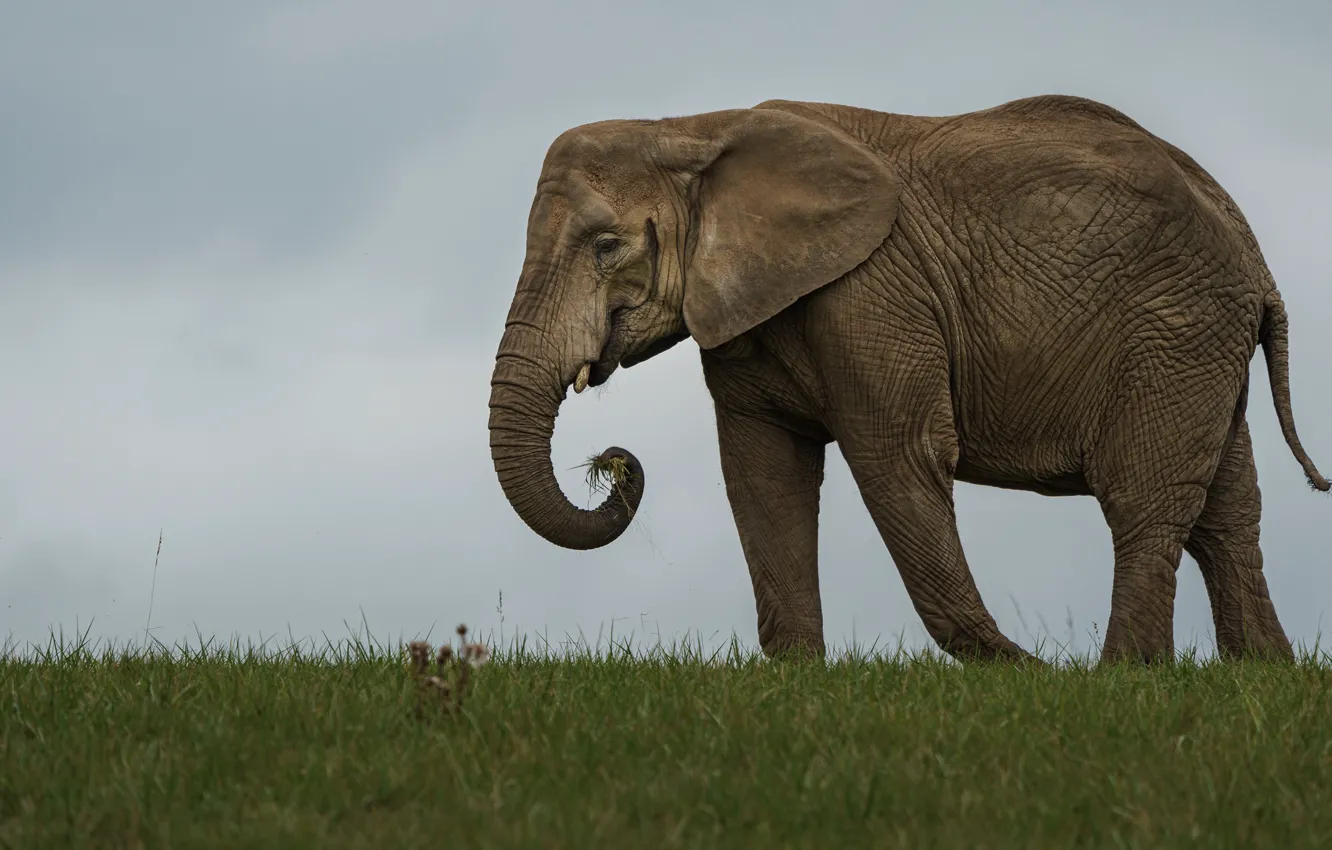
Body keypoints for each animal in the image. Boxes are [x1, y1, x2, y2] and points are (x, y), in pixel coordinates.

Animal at [487, 93, 1328, 665]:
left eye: (605, 246)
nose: (613, 460)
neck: (692, 129)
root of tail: (1251, 246)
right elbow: (763, 475)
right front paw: (798, 680)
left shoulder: (872, 291)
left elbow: (900, 456)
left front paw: (1021, 674)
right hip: (1200, 339)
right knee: (1227, 509)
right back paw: (1261, 674)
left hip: (1175, 327)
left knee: (1144, 498)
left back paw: (1121, 678)